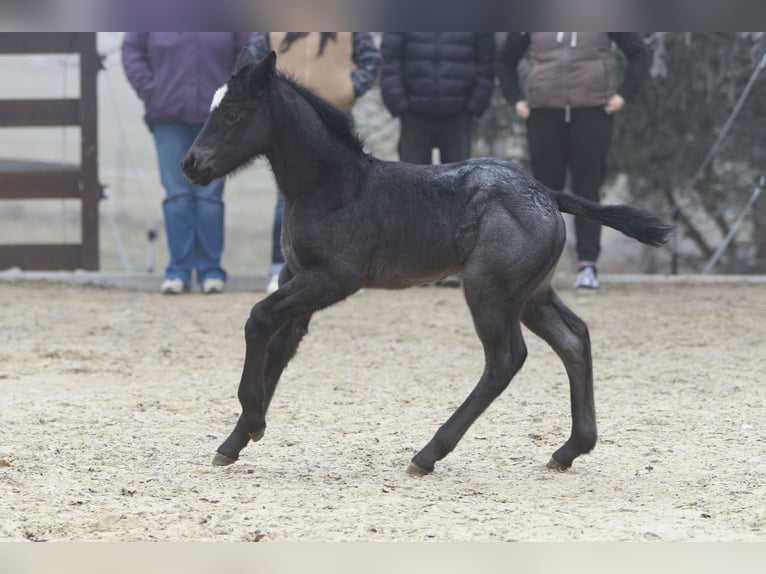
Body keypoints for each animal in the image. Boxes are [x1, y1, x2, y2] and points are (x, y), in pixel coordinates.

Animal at [182, 50, 672, 476]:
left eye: (233, 113)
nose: (190, 163)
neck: (331, 186)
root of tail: (549, 195)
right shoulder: (296, 274)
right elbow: (281, 345)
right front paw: (234, 441)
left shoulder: (332, 278)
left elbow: (259, 319)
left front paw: (252, 420)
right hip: (532, 293)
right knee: (574, 339)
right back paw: (570, 449)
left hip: (489, 289)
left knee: (506, 359)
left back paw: (428, 453)